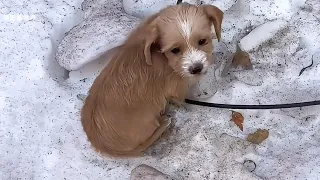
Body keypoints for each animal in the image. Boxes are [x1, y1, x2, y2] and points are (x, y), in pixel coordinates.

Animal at [81, 2, 224, 158]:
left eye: (202, 41)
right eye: (175, 50)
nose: (196, 68)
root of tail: (105, 146)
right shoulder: (176, 88)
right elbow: (181, 101)